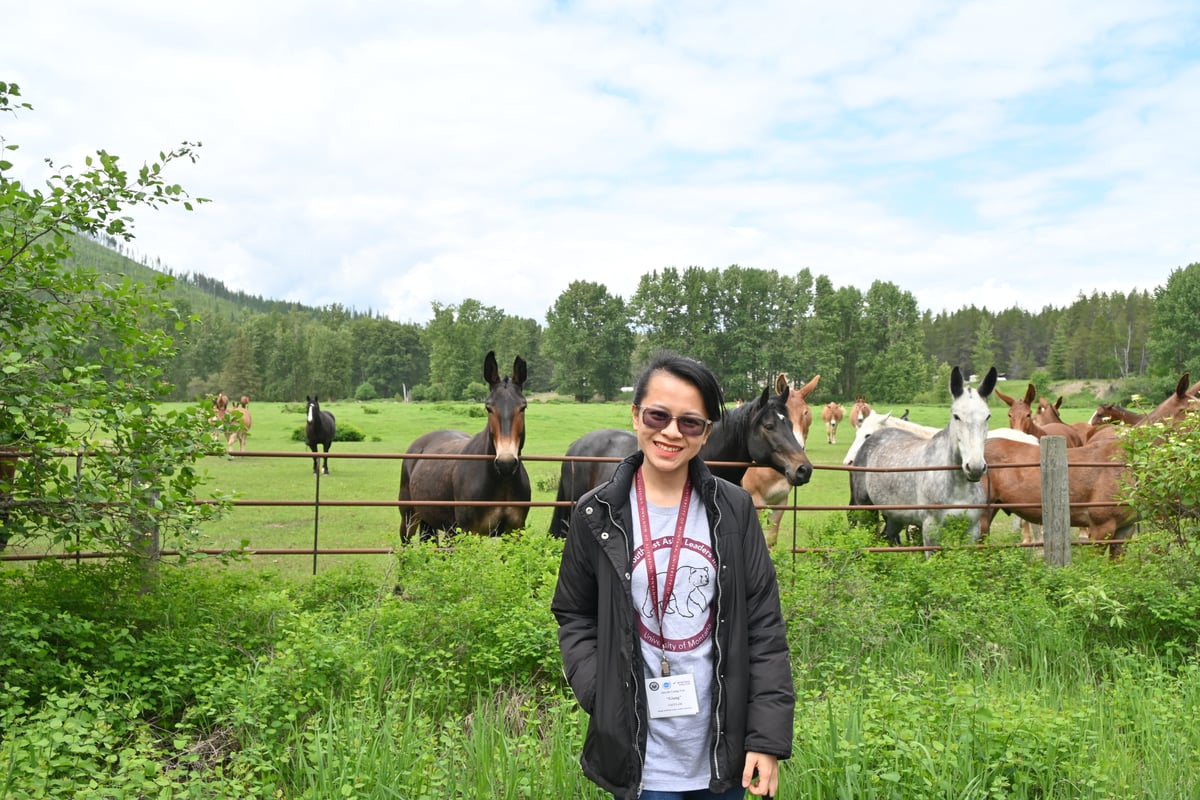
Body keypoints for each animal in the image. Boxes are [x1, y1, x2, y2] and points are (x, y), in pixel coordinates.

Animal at [398, 352, 530, 544]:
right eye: (488, 407)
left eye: (523, 407)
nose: (506, 463)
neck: (501, 481)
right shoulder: (469, 533)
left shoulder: (516, 532)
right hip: (409, 519)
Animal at [849, 369, 998, 551]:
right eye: (956, 416)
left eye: (987, 416)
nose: (975, 467)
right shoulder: (930, 528)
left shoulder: (971, 530)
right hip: (866, 511)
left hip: (894, 517)